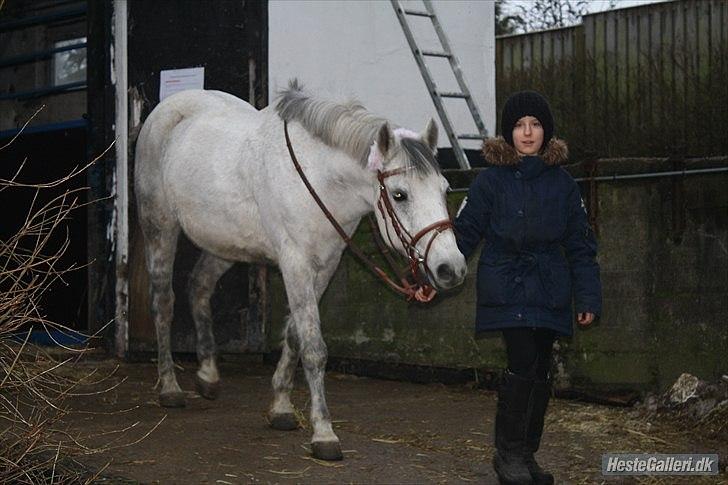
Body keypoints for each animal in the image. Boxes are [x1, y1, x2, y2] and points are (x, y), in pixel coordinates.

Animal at [135, 81, 466, 460]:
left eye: (444, 189)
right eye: (399, 195)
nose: (451, 268)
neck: (319, 178)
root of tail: (168, 109)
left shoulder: (324, 266)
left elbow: (294, 334)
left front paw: (280, 407)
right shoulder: (296, 264)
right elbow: (313, 347)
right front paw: (324, 433)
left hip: (226, 244)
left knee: (199, 286)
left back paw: (207, 375)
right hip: (160, 229)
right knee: (164, 303)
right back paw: (170, 388)